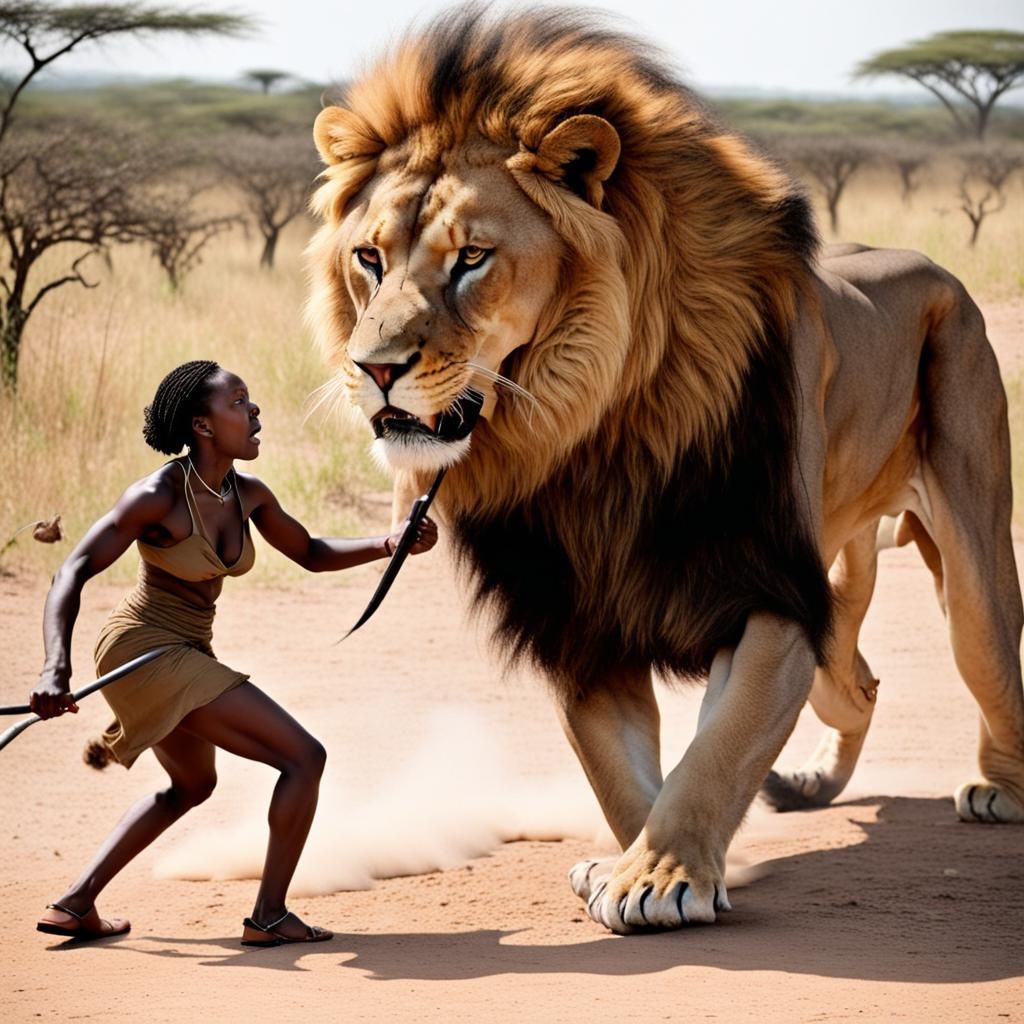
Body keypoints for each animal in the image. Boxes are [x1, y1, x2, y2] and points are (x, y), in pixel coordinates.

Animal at [306, 9, 1024, 933]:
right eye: (368, 258)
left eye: (471, 258)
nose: (374, 368)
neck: (589, 435)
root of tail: (931, 266)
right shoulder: (579, 622)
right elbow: (622, 776)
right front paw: (629, 863)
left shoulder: (764, 589)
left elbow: (717, 749)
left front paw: (661, 876)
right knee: (856, 682)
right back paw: (810, 784)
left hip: (969, 552)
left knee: (984, 657)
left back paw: (996, 790)